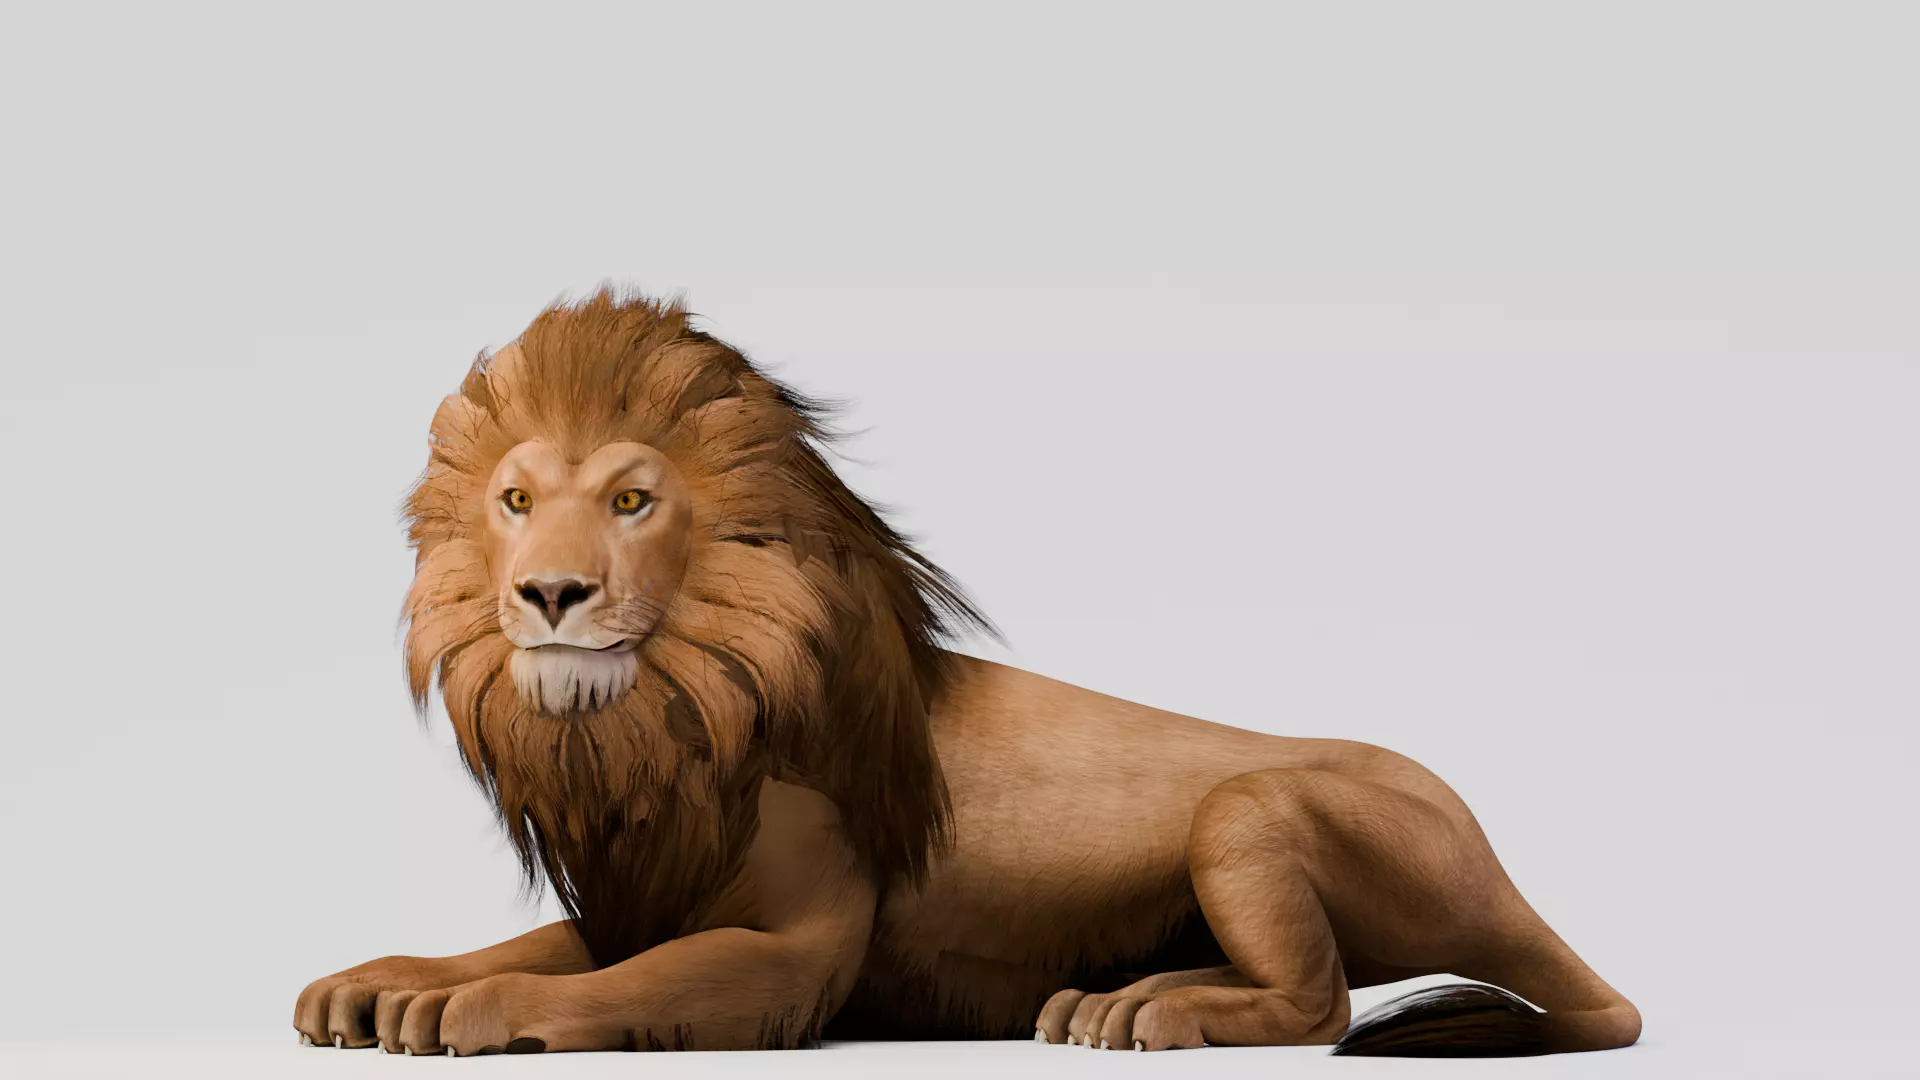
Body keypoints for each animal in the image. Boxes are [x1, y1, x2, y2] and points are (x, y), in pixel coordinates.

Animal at [292, 289, 1641, 1058]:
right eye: (517, 502)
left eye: (631, 501)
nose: (549, 595)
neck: (678, 708)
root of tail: (1500, 866)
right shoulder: (648, 886)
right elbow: (531, 948)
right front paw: (381, 986)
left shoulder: (799, 954)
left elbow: (616, 984)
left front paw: (456, 1015)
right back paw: (1120, 993)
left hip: (1254, 809)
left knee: (1322, 1004)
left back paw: (1153, 1013)